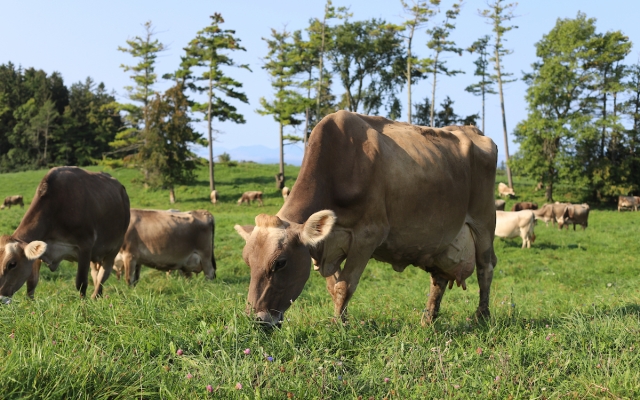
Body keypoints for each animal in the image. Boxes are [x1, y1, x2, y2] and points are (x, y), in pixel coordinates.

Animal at [0, 167, 130, 300]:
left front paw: (83, 303)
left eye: (12, 264)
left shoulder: (85, 246)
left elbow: (81, 283)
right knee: (95, 273)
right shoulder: (39, 251)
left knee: (104, 274)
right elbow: (31, 284)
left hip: (115, 247)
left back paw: (95, 296)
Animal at [234, 111, 497, 328]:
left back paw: (481, 317)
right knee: (438, 279)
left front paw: (338, 325)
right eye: (248, 261)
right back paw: (428, 320)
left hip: (484, 222)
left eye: (280, 263)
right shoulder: (324, 246)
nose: (257, 320)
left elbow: (344, 286)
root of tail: (473, 131)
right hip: (442, 241)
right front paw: (342, 319)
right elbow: (333, 287)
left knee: (485, 268)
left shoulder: (368, 236)